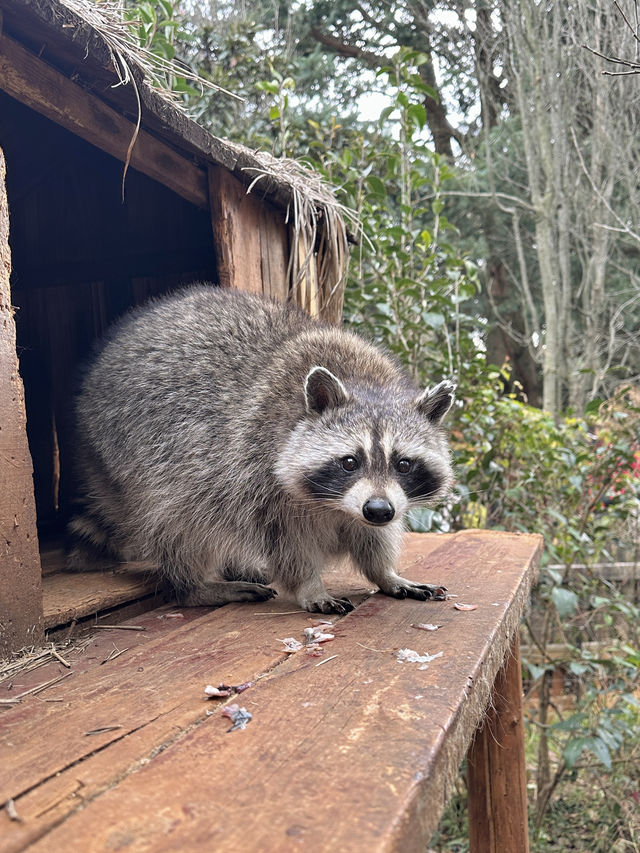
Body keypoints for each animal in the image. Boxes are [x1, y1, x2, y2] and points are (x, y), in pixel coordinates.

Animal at [69, 286, 456, 612]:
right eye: (349, 462)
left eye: (403, 464)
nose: (377, 510)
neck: (365, 383)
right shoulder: (255, 469)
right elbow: (285, 541)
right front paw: (309, 585)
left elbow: (373, 538)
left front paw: (385, 573)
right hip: (126, 451)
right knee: (177, 520)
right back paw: (192, 586)